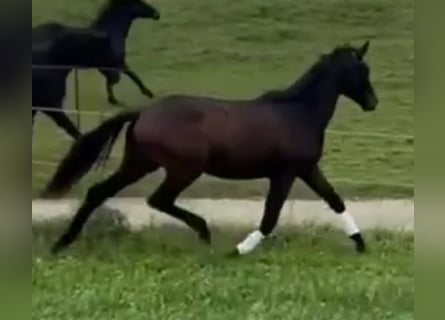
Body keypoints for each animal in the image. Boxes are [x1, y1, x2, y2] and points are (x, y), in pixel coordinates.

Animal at [33, 0, 161, 106]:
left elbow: (114, 81)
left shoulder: (106, 67)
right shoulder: (117, 63)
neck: (112, 31)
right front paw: (148, 94)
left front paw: (114, 100)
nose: (157, 14)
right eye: (139, 3)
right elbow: (128, 77)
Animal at [41, 43, 376, 258]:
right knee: (159, 199)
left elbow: (334, 200)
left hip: (140, 163)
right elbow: (270, 216)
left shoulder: (306, 169)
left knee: (98, 192)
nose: (373, 103)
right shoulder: (285, 173)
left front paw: (360, 244)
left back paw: (62, 243)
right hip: (184, 169)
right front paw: (239, 250)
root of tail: (143, 112)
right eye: (361, 71)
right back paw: (204, 232)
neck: (297, 113)